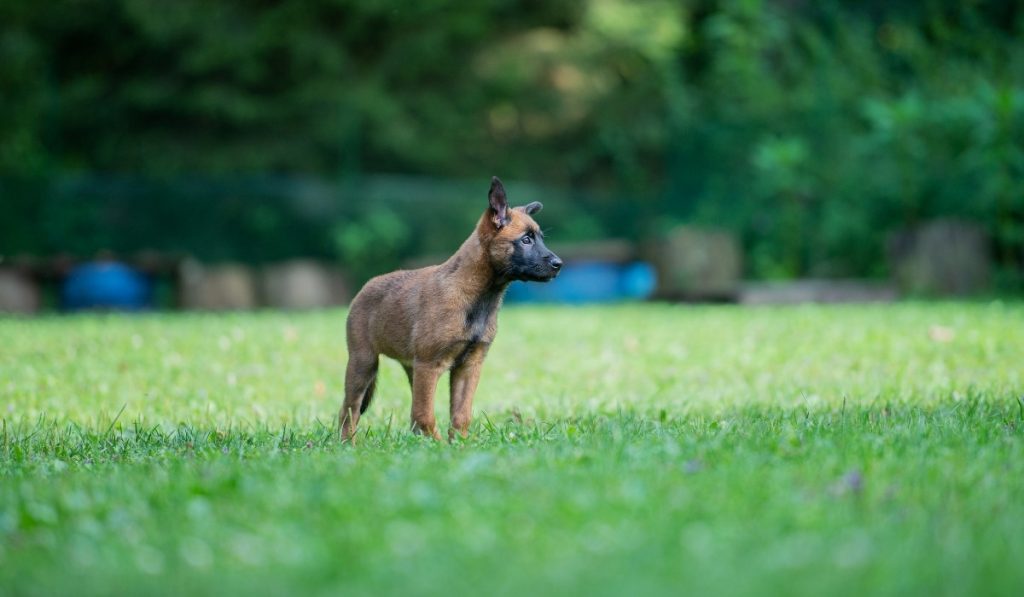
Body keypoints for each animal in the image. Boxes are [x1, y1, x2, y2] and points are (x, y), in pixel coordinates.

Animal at [342, 175, 561, 442]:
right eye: (526, 240)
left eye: (540, 238)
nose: (559, 264)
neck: (477, 296)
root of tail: (366, 286)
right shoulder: (430, 365)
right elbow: (426, 415)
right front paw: (438, 447)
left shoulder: (469, 366)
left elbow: (460, 414)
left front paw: (459, 445)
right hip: (364, 363)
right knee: (349, 410)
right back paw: (348, 444)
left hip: (411, 368)